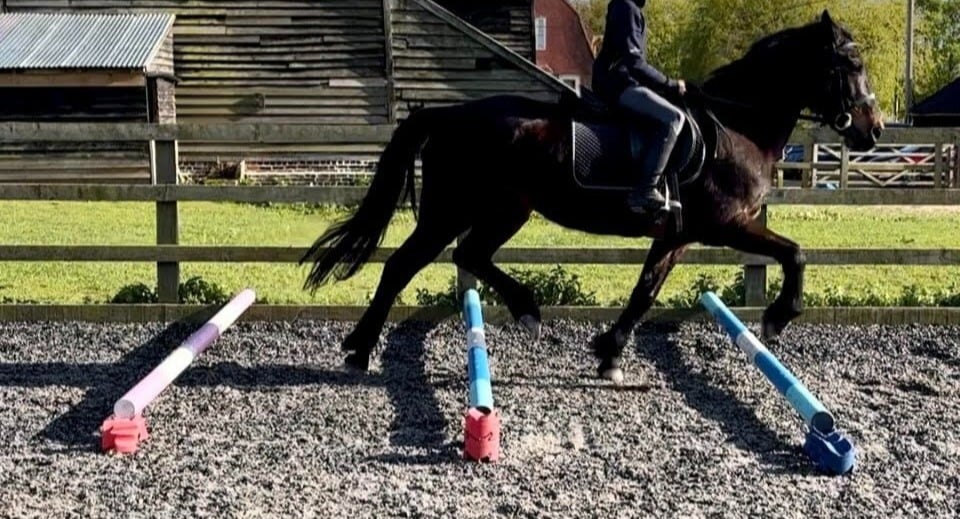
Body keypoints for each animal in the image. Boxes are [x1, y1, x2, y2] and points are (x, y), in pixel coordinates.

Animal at [299, 10, 884, 382]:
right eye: (851, 67)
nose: (873, 130)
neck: (738, 123)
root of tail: (447, 115)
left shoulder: (678, 235)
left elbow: (645, 291)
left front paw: (609, 353)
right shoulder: (727, 225)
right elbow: (795, 253)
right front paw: (779, 316)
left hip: (506, 209)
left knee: (470, 254)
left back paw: (525, 309)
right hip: (452, 210)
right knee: (403, 264)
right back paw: (360, 350)